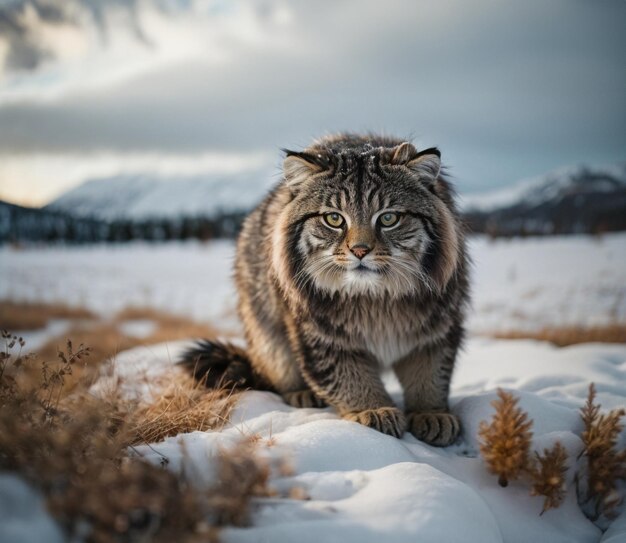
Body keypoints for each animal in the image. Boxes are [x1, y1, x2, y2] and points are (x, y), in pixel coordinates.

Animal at [180, 135, 468, 446]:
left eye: (389, 218)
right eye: (334, 219)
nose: (360, 251)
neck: (375, 299)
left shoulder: (436, 326)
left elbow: (431, 374)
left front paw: (431, 412)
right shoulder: (318, 334)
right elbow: (350, 378)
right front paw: (373, 408)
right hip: (267, 332)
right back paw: (301, 392)